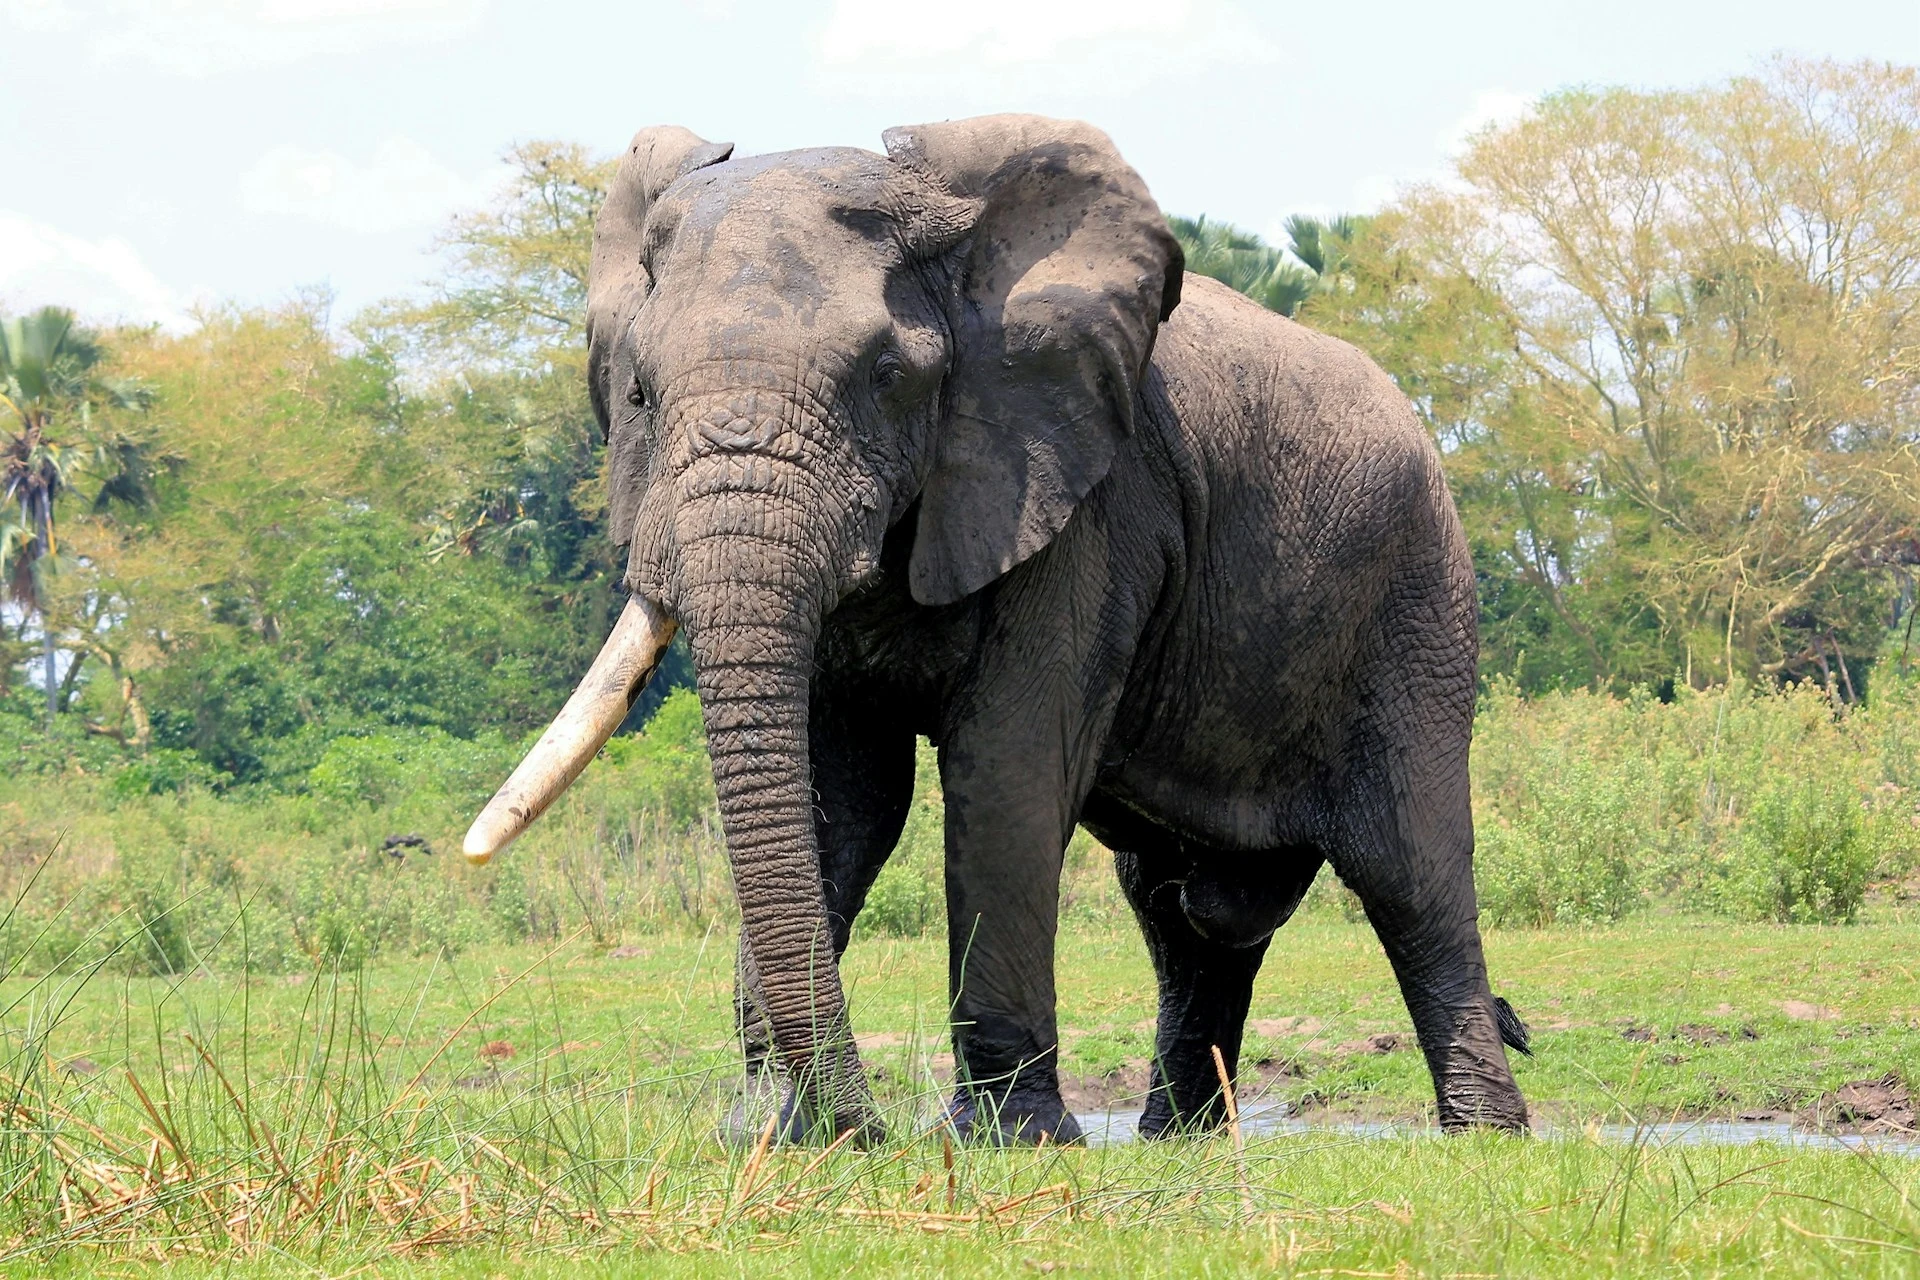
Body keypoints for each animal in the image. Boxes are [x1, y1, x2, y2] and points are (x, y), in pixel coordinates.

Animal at [463, 114, 1532, 1145]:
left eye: (886, 374)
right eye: (639, 393)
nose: (869, 1130)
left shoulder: (1084, 495)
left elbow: (1006, 768)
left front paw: (1010, 1139)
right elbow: (839, 791)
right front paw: (767, 1134)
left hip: (1418, 594)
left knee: (1409, 870)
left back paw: (1484, 1136)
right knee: (1184, 910)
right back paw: (1180, 1141)